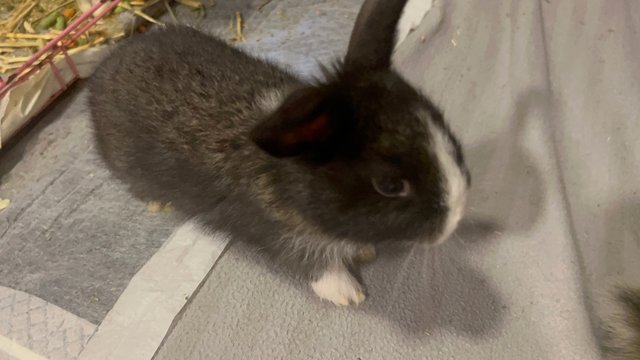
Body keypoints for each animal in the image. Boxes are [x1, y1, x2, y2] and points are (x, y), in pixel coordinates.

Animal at [87, 0, 470, 306]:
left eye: (442, 125)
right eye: (390, 186)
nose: (456, 218)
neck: (288, 176)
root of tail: (106, 68)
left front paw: (363, 250)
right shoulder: (282, 235)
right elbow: (314, 263)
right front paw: (348, 294)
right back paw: (158, 203)